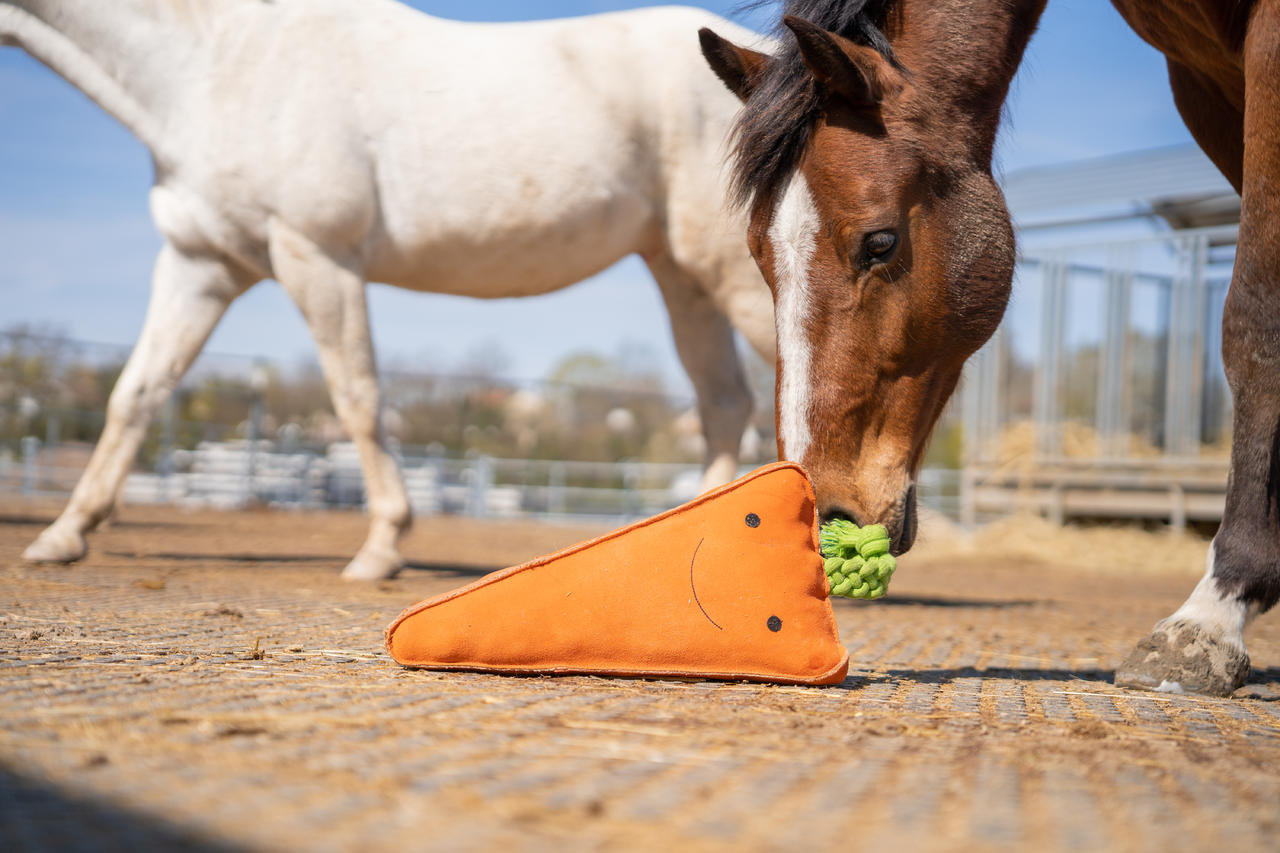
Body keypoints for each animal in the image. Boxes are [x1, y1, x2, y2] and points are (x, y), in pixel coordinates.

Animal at [1, 0, 777, 580]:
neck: (219, 65)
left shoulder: (316, 255)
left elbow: (358, 397)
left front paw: (383, 546)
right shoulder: (201, 265)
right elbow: (135, 392)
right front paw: (64, 534)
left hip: (731, 269)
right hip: (680, 272)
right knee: (724, 402)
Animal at [699, 0, 1278, 696]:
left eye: (880, 242)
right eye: (758, 254)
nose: (817, 511)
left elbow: (1255, 319)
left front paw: (1214, 613)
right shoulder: (1204, 83)